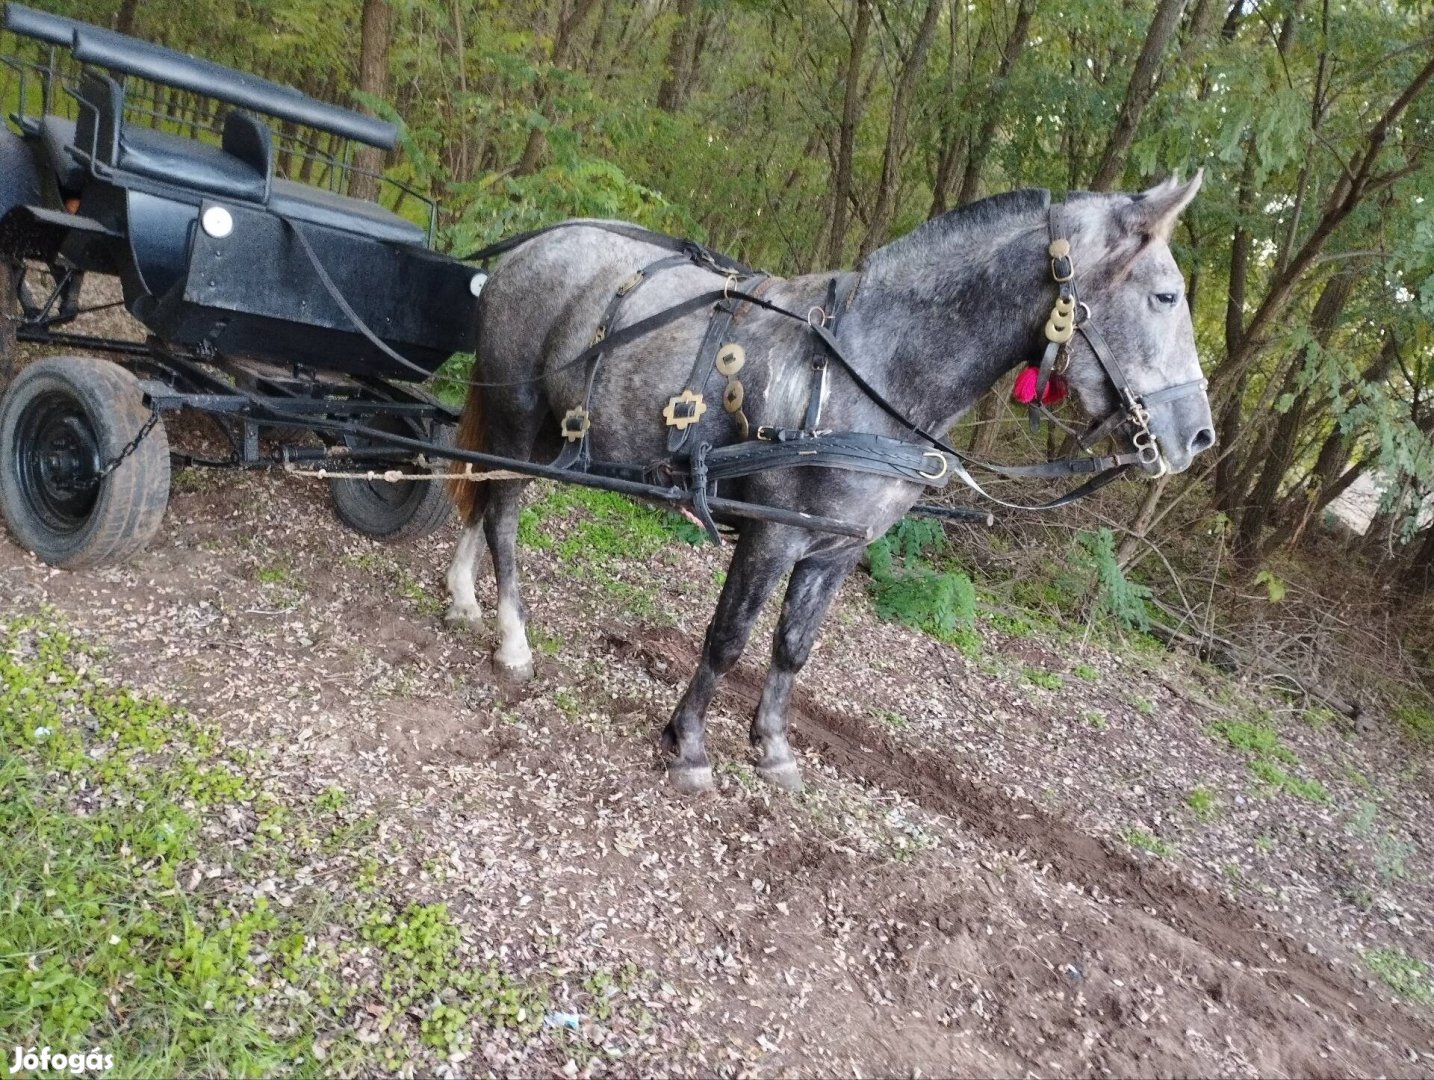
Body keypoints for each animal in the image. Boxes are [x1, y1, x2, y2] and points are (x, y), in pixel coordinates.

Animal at [441, 177, 1216, 791]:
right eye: (1166, 295)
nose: (1198, 435)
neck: (865, 371)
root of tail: (531, 249)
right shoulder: (772, 535)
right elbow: (728, 638)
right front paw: (688, 747)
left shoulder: (835, 551)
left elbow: (792, 648)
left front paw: (773, 749)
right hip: (518, 418)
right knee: (503, 514)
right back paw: (512, 640)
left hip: (548, 432)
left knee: (481, 493)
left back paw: (463, 599)